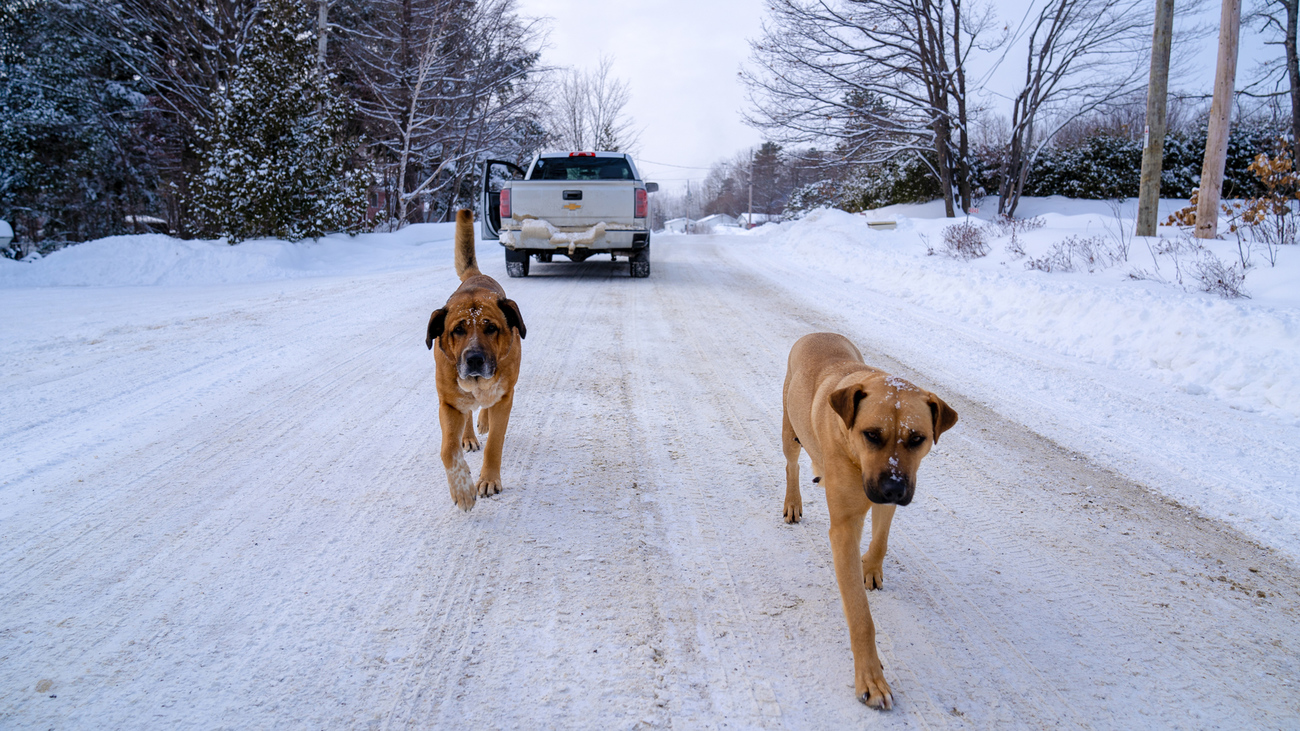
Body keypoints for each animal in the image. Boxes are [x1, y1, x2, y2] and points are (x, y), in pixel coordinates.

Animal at [428, 208, 525, 509]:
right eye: (457, 330)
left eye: (491, 327)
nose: (473, 359)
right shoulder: (448, 402)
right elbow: (448, 449)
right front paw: (462, 488)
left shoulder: (505, 396)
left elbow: (495, 440)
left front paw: (489, 480)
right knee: (468, 413)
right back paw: (469, 435)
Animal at [780, 330, 956, 707]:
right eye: (872, 434)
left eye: (917, 438)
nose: (893, 487)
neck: (854, 454)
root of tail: (817, 333)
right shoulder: (845, 528)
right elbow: (861, 615)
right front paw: (871, 678)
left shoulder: (887, 499)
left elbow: (881, 539)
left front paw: (871, 568)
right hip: (789, 427)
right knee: (791, 463)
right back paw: (793, 501)